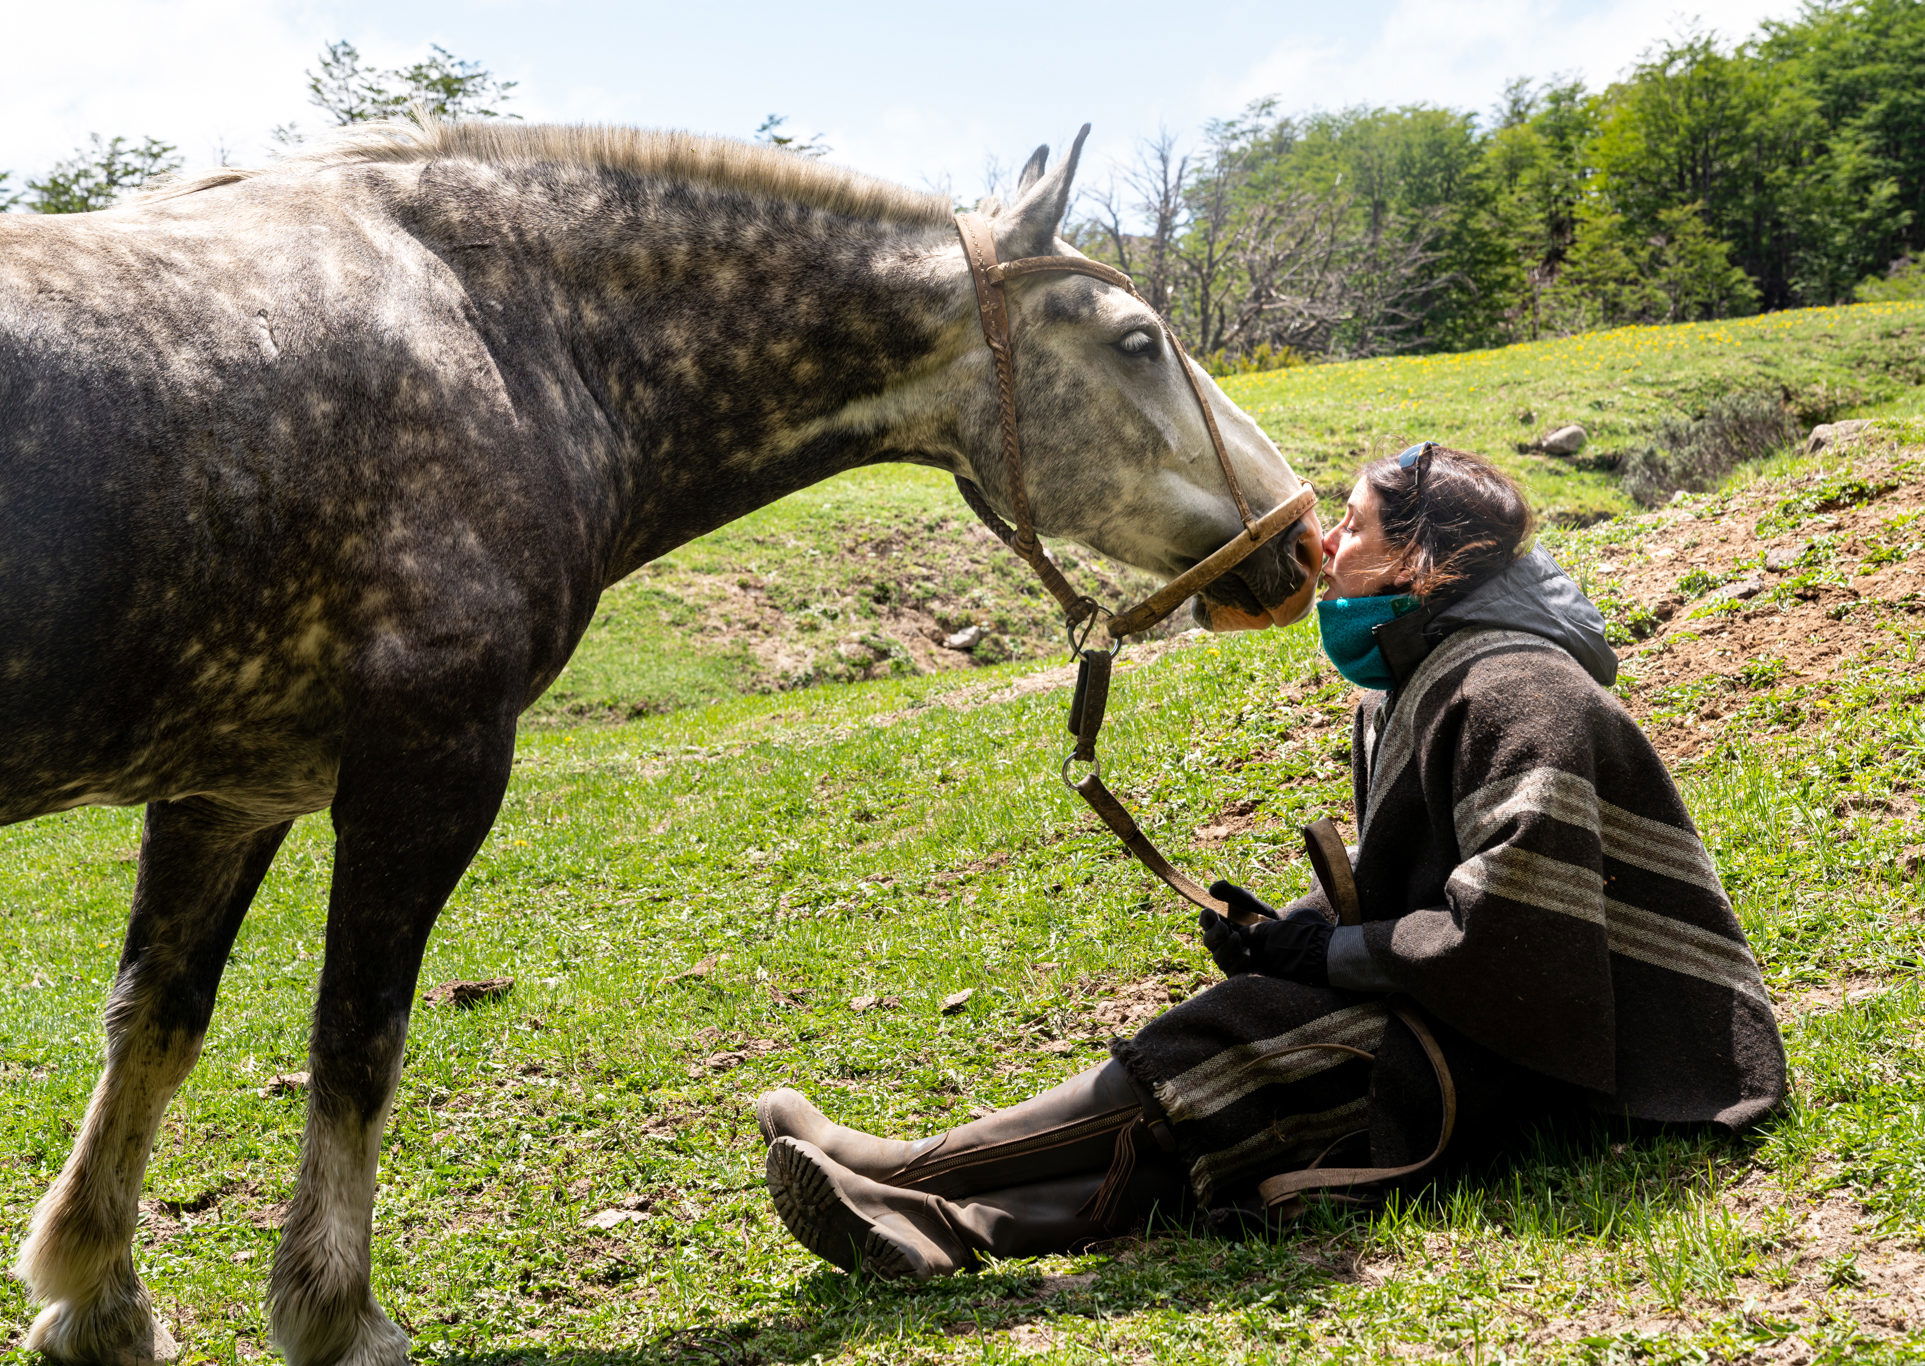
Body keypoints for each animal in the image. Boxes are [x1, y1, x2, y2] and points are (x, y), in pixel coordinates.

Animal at [0, 118, 1321, 1365]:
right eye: (1136, 341)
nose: (1300, 541)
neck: (495, 330)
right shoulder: (426, 769)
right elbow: (355, 1042)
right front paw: (335, 1313)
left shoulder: (229, 791)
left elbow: (156, 1025)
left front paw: (97, 1295)